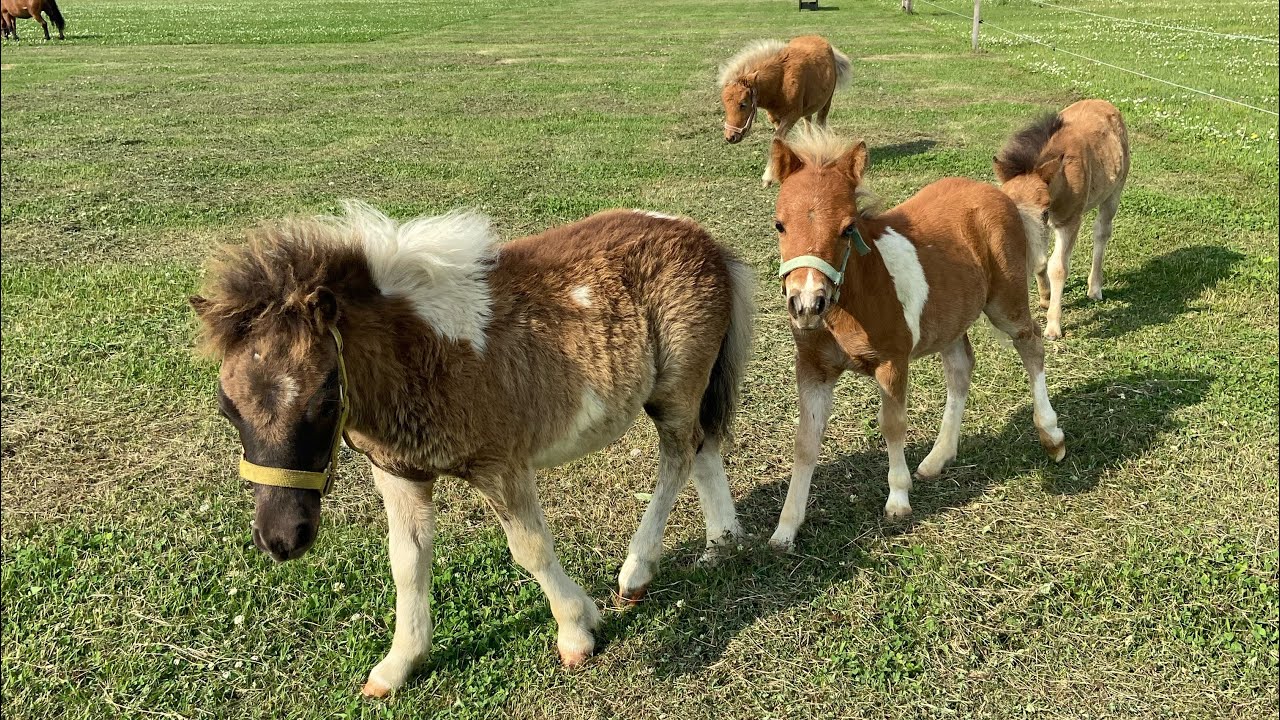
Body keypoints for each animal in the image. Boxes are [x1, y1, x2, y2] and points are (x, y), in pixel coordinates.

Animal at [190, 202, 753, 697]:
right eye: (226, 407)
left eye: (327, 400)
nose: (281, 538)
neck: (418, 352)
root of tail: (703, 238)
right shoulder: (398, 472)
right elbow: (407, 560)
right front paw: (397, 666)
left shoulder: (500, 465)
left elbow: (530, 549)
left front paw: (576, 632)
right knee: (703, 446)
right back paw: (721, 541)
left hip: (676, 385)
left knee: (679, 454)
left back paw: (637, 571)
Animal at [718, 35, 852, 186]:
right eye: (724, 104)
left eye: (743, 104)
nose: (730, 137)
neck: (781, 80)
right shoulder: (775, 117)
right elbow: (780, 140)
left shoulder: (791, 116)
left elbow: (776, 138)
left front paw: (768, 177)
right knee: (808, 122)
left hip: (826, 102)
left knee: (820, 123)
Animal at [765, 128, 1066, 549]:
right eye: (780, 225)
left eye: (848, 228)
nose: (807, 304)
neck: (852, 301)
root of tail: (1001, 195)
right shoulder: (813, 369)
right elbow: (805, 442)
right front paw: (785, 529)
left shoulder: (893, 360)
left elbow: (892, 424)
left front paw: (898, 498)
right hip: (950, 320)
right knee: (961, 369)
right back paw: (938, 458)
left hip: (1006, 304)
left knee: (1032, 344)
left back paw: (1051, 436)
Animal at [994, 99, 1130, 340]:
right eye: (1009, 205)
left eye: (1044, 210)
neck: (1063, 178)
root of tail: (1105, 104)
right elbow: (1039, 260)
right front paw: (1045, 298)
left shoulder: (1068, 221)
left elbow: (1058, 268)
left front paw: (1053, 326)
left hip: (1114, 193)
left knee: (1102, 232)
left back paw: (1095, 289)